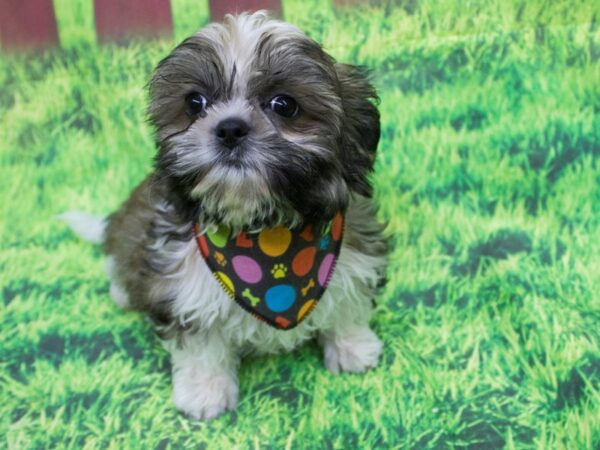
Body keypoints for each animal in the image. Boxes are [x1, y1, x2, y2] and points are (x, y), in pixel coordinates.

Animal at [62, 10, 390, 420]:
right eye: (195, 102)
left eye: (284, 105)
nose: (230, 128)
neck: (263, 232)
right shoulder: (183, 287)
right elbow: (202, 347)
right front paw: (205, 393)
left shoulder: (353, 250)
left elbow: (348, 303)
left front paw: (352, 347)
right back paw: (122, 290)